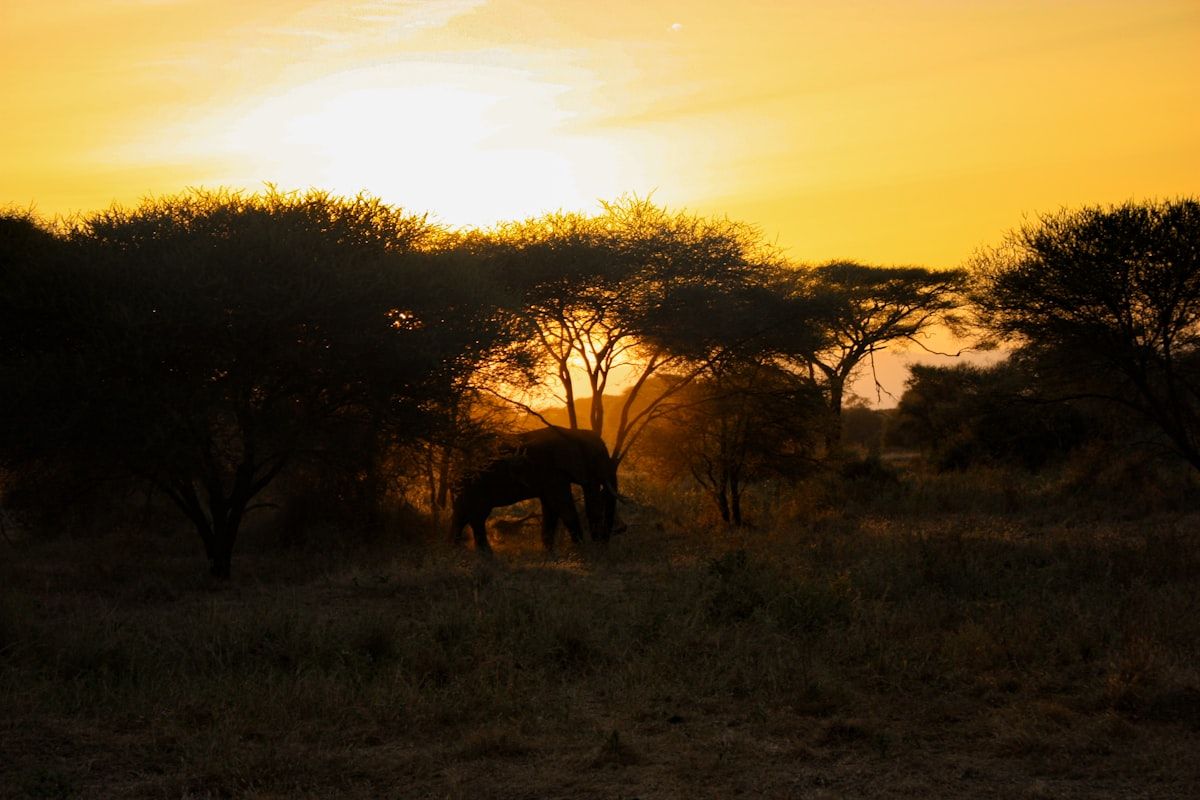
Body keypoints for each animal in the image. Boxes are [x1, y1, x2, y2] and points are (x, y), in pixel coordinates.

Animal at [450, 426, 621, 556]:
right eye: (598, 456)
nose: (603, 545)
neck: (573, 433)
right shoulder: (553, 472)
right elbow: (563, 505)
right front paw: (583, 550)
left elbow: (551, 508)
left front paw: (550, 555)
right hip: (474, 485)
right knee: (477, 516)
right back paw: (485, 556)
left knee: (462, 515)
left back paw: (456, 552)